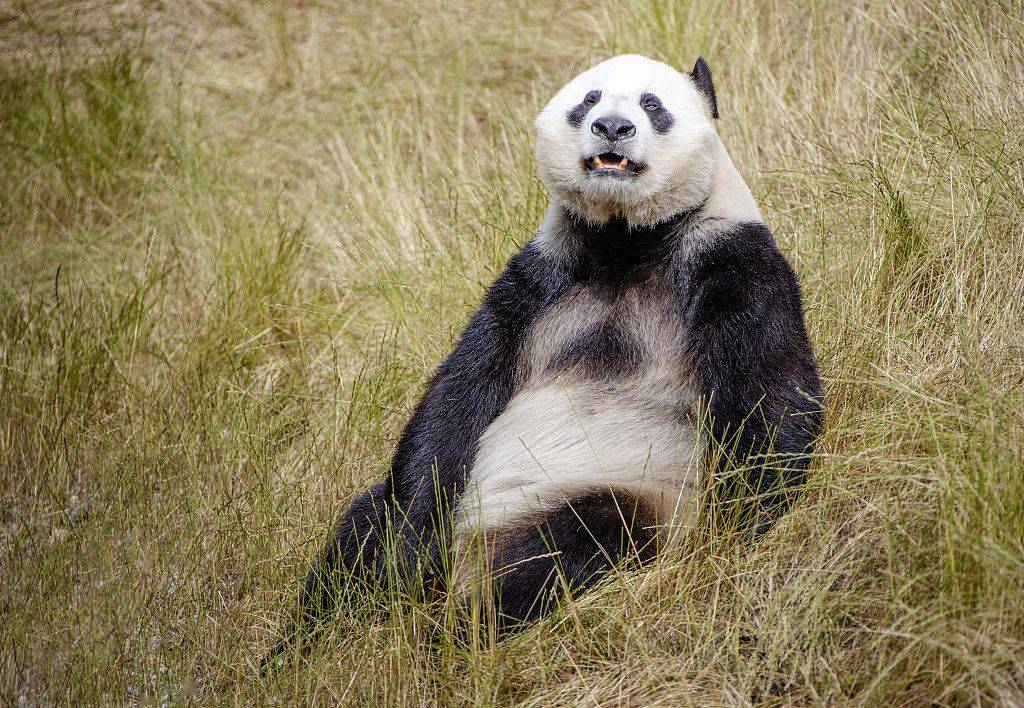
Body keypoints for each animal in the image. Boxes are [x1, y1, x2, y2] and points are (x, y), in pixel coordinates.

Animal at [268, 54, 819, 659]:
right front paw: (404, 554)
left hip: (619, 489)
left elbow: (770, 397)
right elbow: (458, 397)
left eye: (652, 104)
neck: (627, 240)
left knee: (573, 544)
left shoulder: (732, 262)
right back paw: (321, 640)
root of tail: (472, 554)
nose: (612, 128)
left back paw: (460, 631)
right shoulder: (538, 281)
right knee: (366, 530)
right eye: (589, 99)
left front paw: (744, 536)